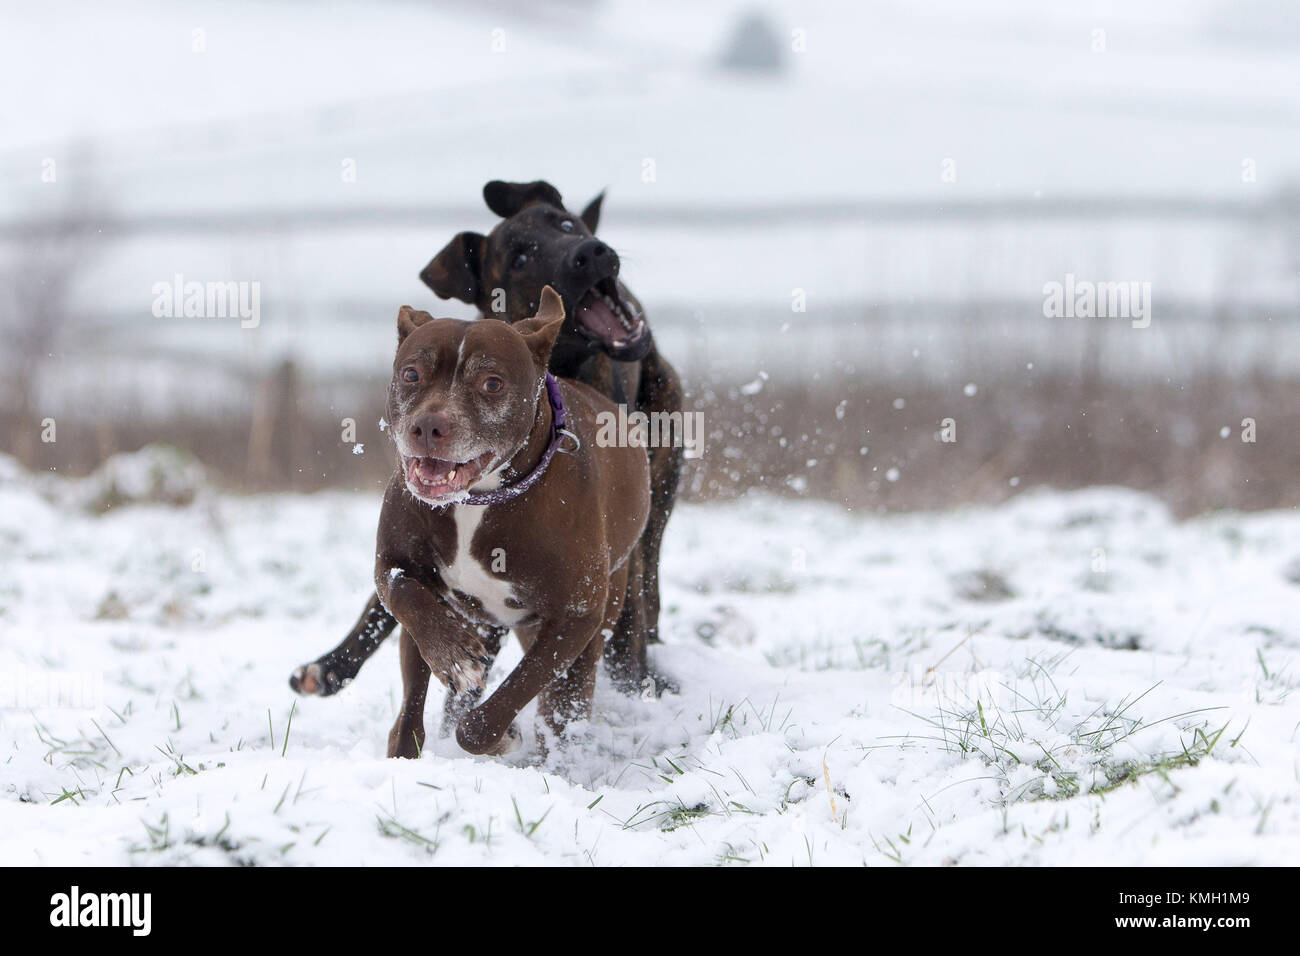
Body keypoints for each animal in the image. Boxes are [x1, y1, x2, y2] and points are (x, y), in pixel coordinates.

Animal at [377, 287, 650, 759]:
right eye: (411, 374)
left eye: (492, 383)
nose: (428, 425)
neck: (478, 498)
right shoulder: (395, 564)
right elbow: (404, 595)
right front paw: (453, 657)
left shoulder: (575, 617)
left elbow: (510, 697)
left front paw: (497, 734)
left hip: (600, 613)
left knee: (565, 703)